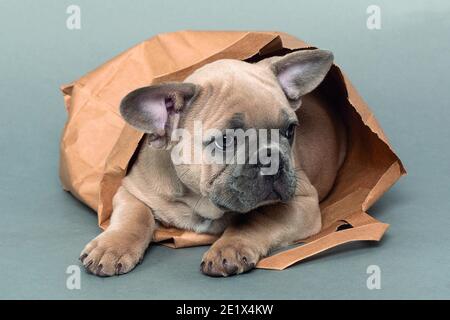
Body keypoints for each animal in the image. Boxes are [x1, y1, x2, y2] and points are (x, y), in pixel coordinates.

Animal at [79, 48, 346, 276]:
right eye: (225, 141)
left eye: (290, 131)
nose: (270, 156)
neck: (200, 201)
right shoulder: (132, 190)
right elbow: (134, 216)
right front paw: (112, 247)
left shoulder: (303, 201)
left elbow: (258, 219)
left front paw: (229, 248)